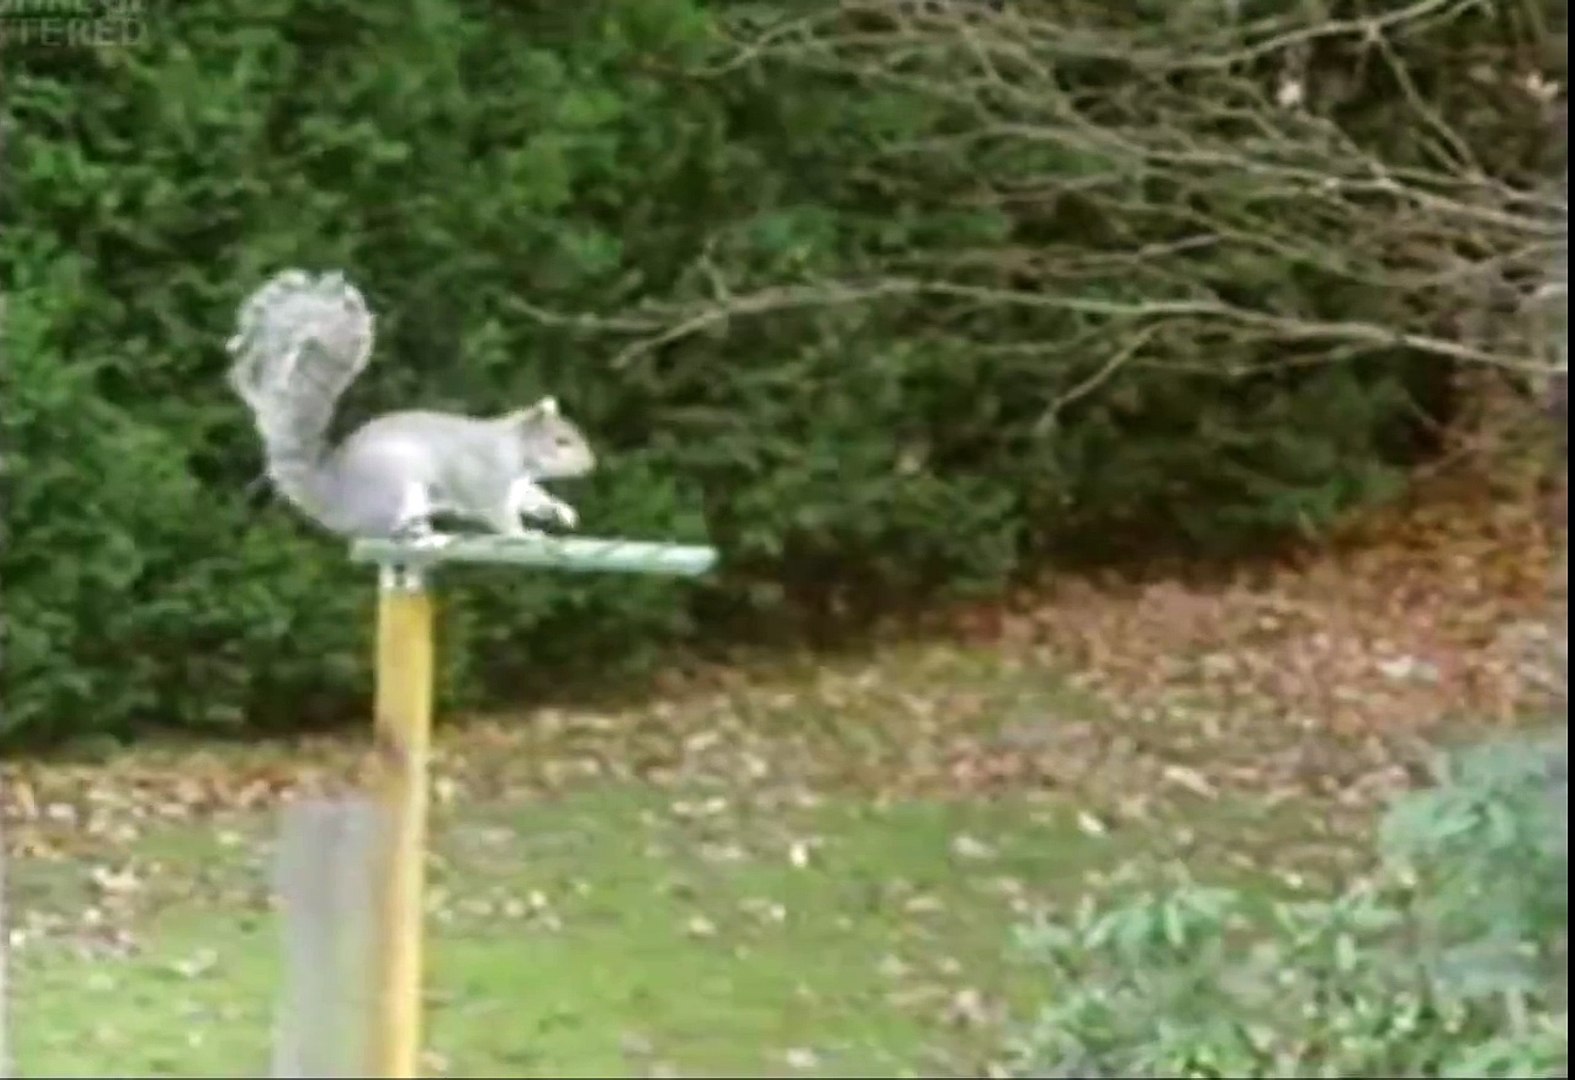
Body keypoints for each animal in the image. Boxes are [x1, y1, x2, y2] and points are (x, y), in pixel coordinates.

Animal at [227, 269, 597, 541]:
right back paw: (418, 534)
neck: (514, 451)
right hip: (397, 489)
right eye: (560, 441)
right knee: (380, 532)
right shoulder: (482, 479)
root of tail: (335, 500)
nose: (590, 465)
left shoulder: (518, 485)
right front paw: (522, 534)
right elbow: (496, 513)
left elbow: (533, 499)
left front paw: (560, 511)